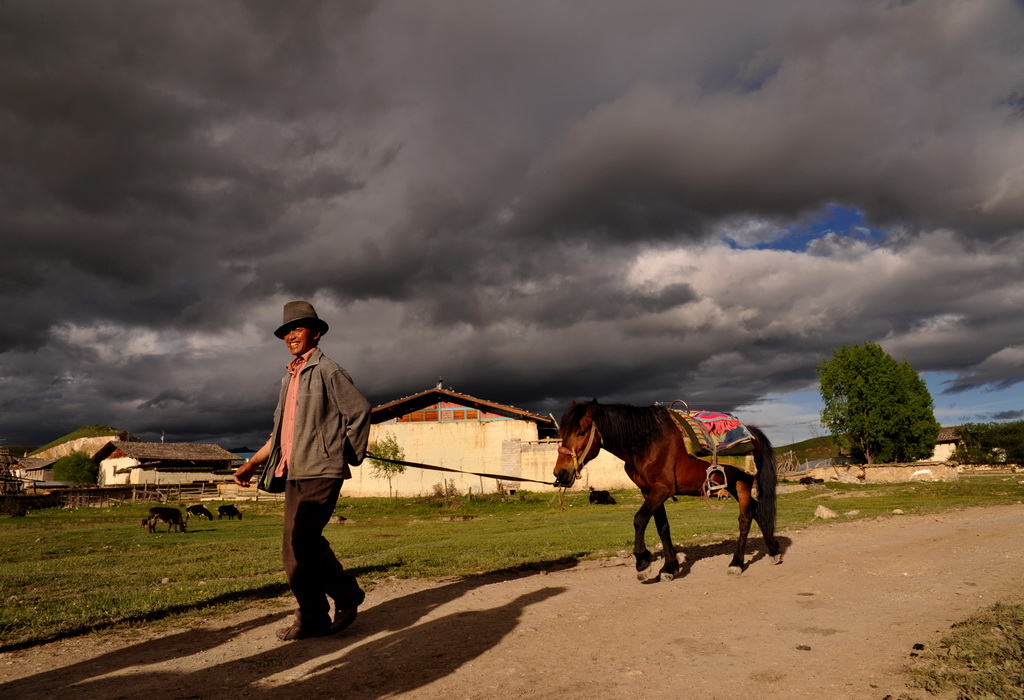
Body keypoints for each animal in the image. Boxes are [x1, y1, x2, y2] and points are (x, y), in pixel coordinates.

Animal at [552, 399, 782, 581]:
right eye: (561, 433)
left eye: (581, 432)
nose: (561, 473)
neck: (648, 442)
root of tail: (752, 433)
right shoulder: (649, 491)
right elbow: (662, 526)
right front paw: (669, 568)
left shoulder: (662, 489)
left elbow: (639, 519)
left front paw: (643, 563)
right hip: (732, 484)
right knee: (756, 510)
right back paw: (773, 551)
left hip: (743, 482)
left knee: (745, 518)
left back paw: (736, 563)